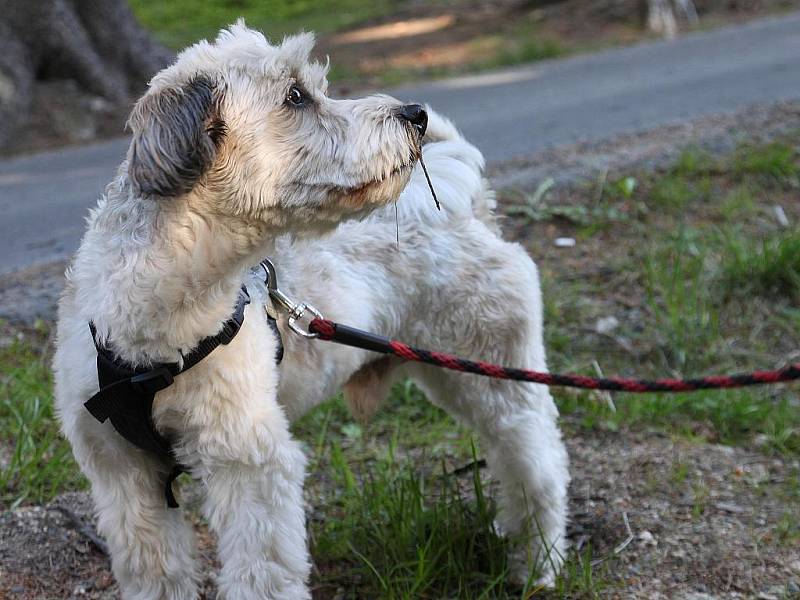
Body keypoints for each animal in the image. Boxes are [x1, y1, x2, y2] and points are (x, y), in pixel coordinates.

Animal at [51, 22, 568, 600]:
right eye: (296, 96)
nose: (414, 114)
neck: (157, 336)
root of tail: (465, 209)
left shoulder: (249, 463)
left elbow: (262, 575)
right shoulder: (124, 477)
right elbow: (155, 572)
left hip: (497, 382)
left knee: (539, 468)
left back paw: (538, 564)